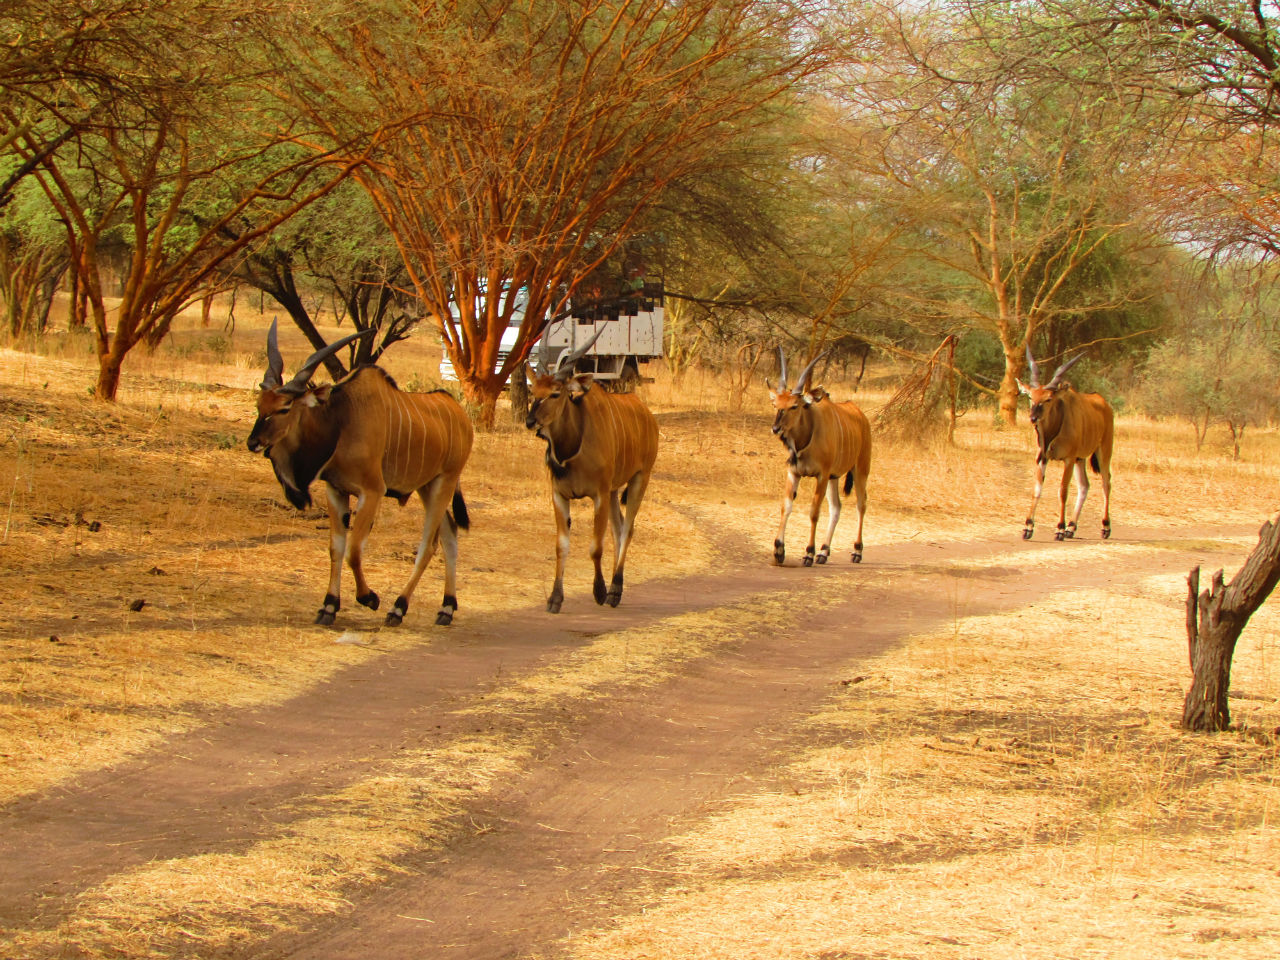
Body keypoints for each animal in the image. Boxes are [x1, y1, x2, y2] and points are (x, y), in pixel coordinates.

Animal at [247, 320, 473, 627]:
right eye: (259, 405)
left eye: (284, 408)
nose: (253, 442)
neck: (342, 420)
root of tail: (460, 415)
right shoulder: (336, 491)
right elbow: (336, 548)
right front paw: (328, 607)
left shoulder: (372, 492)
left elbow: (354, 551)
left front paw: (370, 598)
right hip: (426, 486)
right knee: (450, 534)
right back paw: (446, 608)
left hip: (444, 482)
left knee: (429, 545)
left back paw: (398, 608)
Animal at [524, 330, 660, 616]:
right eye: (533, 390)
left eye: (556, 393)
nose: (530, 421)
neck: (573, 448)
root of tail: (647, 414)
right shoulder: (560, 495)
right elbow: (561, 546)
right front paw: (555, 599)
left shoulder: (598, 495)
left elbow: (595, 547)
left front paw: (599, 592)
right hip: (615, 490)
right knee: (619, 529)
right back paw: (615, 588)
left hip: (640, 479)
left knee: (628, 529)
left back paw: (615, 590)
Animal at [762, 350, 875, 568]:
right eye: (775, 404)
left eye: (794, 406)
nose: (776, 428)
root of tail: (861, 416)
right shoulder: (795, 473)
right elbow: (786, 506)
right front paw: (779, 551)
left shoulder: (821, 475)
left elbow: (814, 512)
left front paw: (808, 553)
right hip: (834, 477)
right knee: (836, 508)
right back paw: (823, 552)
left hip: (860, 469)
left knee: (861, 504)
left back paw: (857, 551)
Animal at [1018, 345, 1111, 542]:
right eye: (1030, 397)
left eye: (1048, 399)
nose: (1033, 417)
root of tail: (1103, 403)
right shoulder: (1042, 458)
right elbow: (1037, 489)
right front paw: (1028, 527)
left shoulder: (1068, 460)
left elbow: (1062, 491)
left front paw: (1059, 529)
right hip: (1080, 459)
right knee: (1084, 486)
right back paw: (1071, 527)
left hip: (1104, 451)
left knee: (1106, 482)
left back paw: (1105, 527)